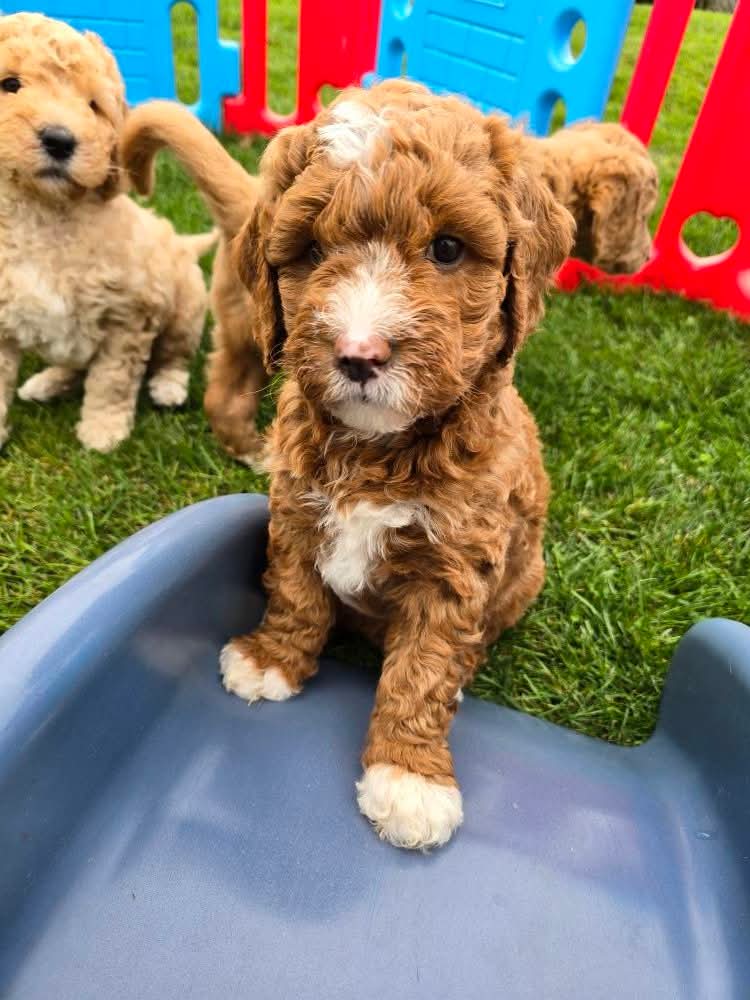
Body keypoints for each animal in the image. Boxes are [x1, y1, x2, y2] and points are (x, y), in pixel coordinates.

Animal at [0, 14, 215, 453]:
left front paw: (103, 432)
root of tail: (183, 246)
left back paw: (169, 386)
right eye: (10, 84)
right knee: (73, 366)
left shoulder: (128, 317)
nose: (60, 140)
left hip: (186, 309)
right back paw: (47, 382)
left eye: (93, 106)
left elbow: (111, 381)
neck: (43, 216)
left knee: (174, 353)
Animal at [216, 80, 574, 849]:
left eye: (447, 249)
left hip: (523, 579)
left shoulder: (455, 569)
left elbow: (422, 671)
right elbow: (295, 594)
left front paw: (409, 778)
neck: (376, 451)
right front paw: (272, 659)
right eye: (311, 250)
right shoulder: (296, 514)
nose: (359, 354)